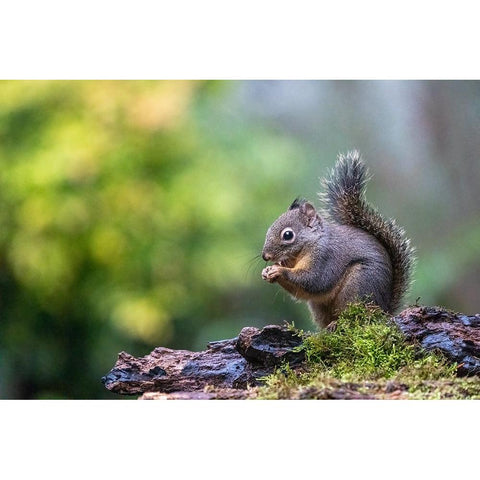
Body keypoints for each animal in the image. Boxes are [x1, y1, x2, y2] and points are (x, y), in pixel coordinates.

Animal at [260, 152, 414, 328]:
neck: (310, 244)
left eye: (287, 235)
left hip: (358, 286)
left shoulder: (325, 257)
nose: (265, 256)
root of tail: (384, 310)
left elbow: (314, 280)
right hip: (320, 306)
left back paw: (338, 323)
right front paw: (267, 271)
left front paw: (278, 270)